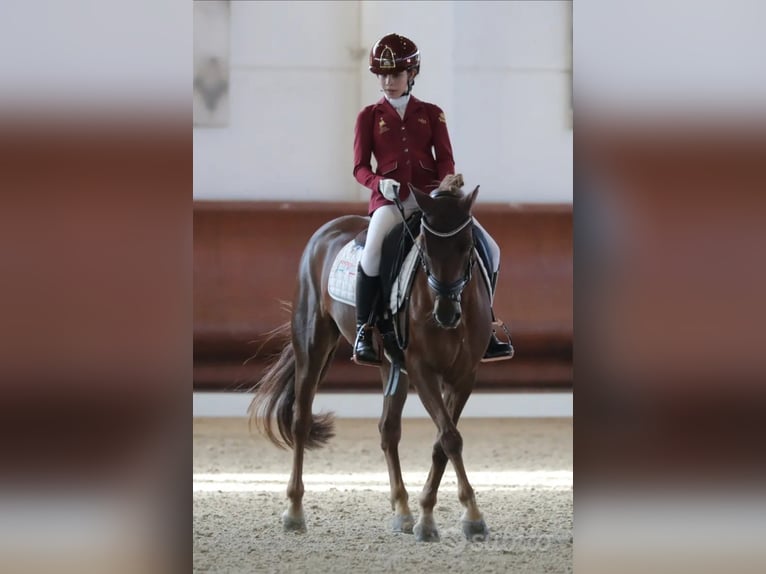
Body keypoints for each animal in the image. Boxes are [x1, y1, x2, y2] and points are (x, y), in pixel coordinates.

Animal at [249, 179, 496, 544]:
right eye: (424, 248)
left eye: (467, 247)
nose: (445, 314)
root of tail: (327, 229)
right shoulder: (422, 369)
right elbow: (450, 437)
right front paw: (471, 517)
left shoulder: (464, 375)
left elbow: (443, 440)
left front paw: (430, 517)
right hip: (312, 344)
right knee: (300, 421)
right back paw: (294, 511)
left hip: (391, 366)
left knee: (388, 430)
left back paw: (403, 511)